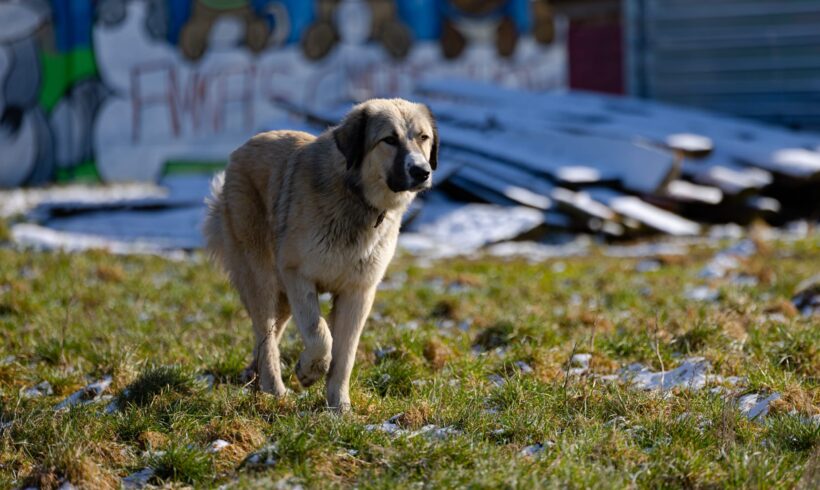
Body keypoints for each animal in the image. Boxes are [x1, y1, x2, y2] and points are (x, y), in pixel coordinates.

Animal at [203, 98, 438, 410]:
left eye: (423, 138)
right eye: (389, 139)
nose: (422, 171)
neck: (355, 196)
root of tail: (241, 150)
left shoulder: (358, 292)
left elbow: (345, 354)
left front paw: (339, 407)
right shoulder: (298, 275)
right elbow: (319, 334)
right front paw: (309, 371)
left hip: (282, 297)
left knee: (269, 335)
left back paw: (254, 377)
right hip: (261, 277)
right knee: (266, 336)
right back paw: (274, 390)